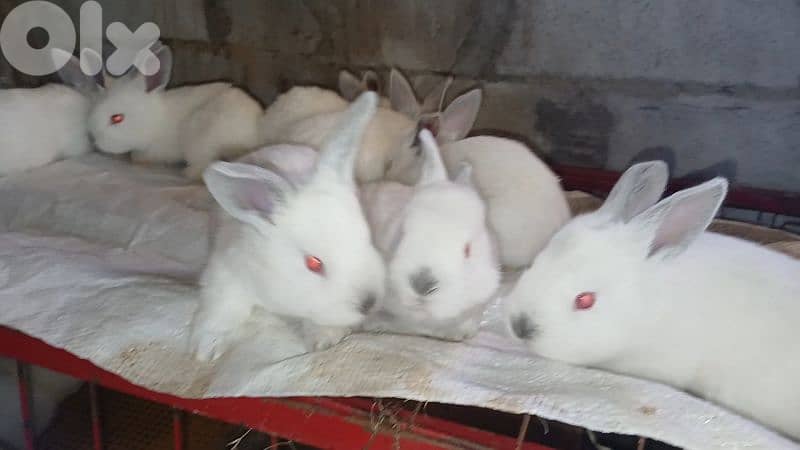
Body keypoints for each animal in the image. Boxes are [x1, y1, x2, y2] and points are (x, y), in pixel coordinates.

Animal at [86, 43, 263, 180]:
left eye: (117, 118)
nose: (95, 141)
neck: (155, 121)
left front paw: (136, 159)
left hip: (201, 139)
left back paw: (187, 173)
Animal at [190, 92, 386, 361]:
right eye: (313, 263)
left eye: (368, 237)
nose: (369, 303)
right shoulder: (226, 274)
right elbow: (220, 310)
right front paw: (207, 349)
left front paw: (325, 340)